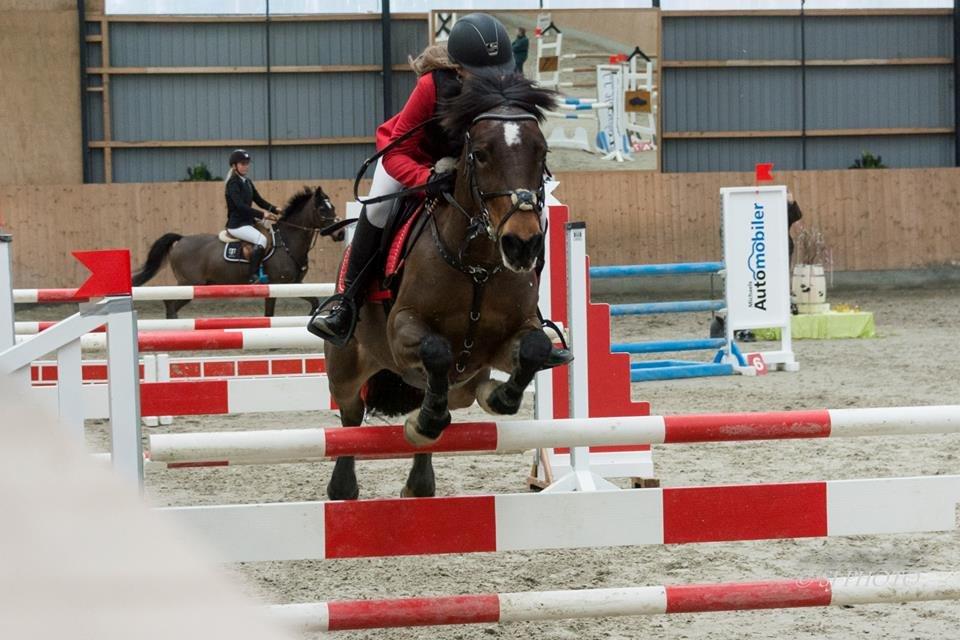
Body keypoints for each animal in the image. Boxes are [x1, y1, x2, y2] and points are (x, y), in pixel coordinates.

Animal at [131, 186, 344, 318]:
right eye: (322, 209)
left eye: (332, 207)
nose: (341, 233)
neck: (287, 241)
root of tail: (181, 239)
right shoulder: (278, 284)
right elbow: (270, 313)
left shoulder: (295, 284)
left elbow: (314, 301)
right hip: (189, 284)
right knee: (170, 303)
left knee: (169, 303)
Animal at [324, 74, 558, 501]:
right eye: (480, 154)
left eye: (541, 152)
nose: (522, 244)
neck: (478, 266)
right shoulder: (402, 328)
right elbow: (436, 350)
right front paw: (425, 422)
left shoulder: (508, 339)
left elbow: (534, 349)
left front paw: (499, 397)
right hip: (346, 367)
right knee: (350, 415)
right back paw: (344, 485)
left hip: (463, 380)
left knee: (461, 392)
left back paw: (422, 479)